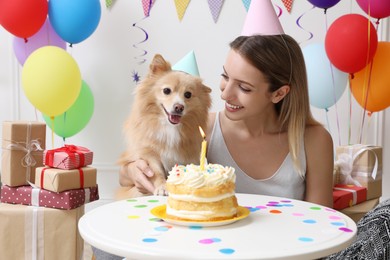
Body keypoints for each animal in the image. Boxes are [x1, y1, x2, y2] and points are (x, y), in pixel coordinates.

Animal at [116, 53, 212, 199]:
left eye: (188, 94)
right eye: (167, 90)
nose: (179, 107)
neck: (169, 127)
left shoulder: (186, 158)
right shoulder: (149, 155)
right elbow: (156, 172)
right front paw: (162, 187)